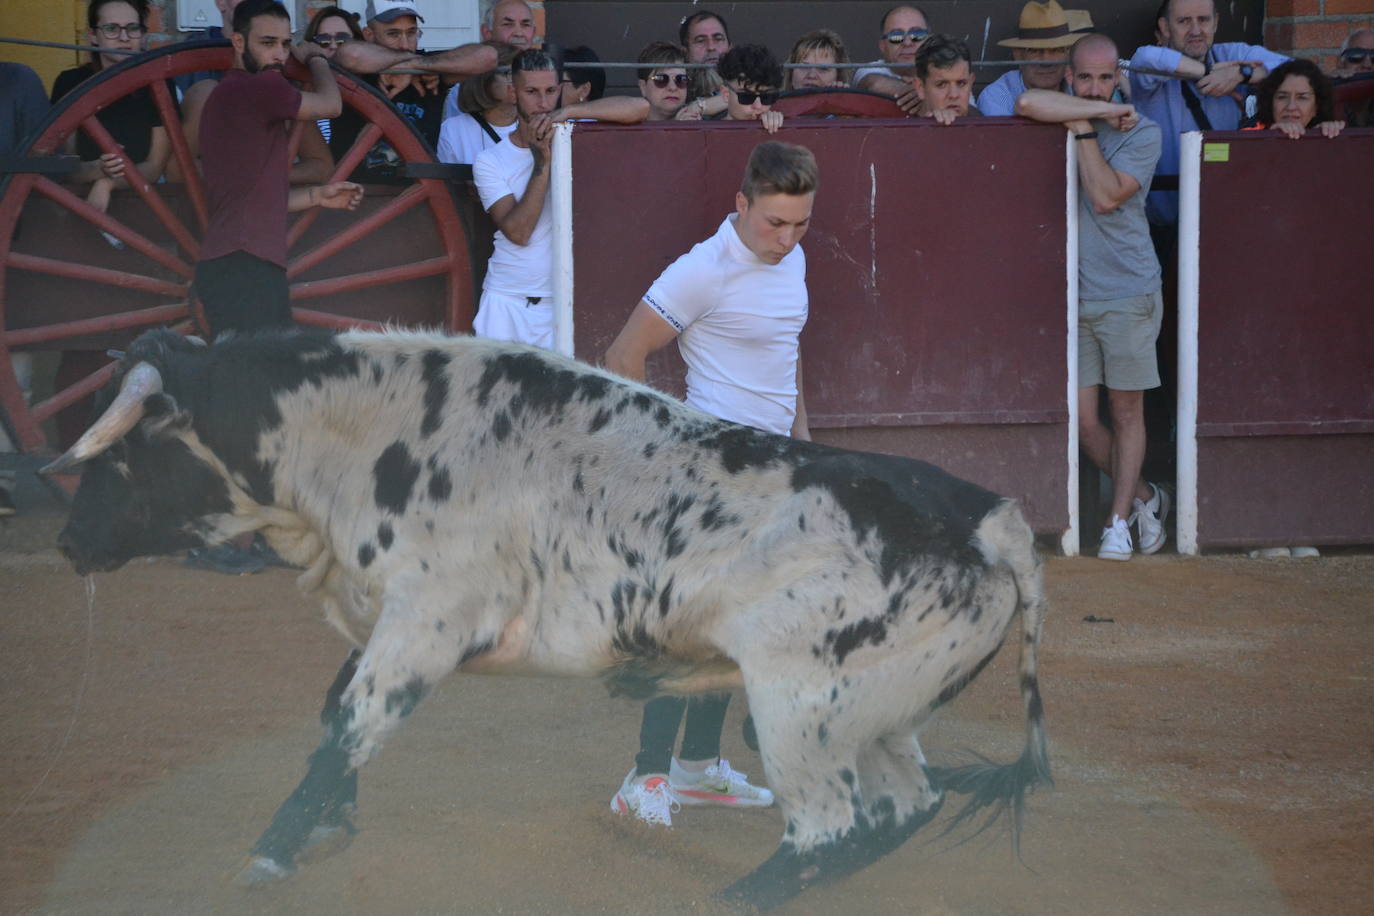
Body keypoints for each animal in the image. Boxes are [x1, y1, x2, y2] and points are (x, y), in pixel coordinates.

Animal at [45, 325, 1049, 906]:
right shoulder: (392, 623)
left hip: (797, 709)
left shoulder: (425, 623)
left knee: (828, 829)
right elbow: (335, 715)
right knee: (902, 808)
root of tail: (989, 518)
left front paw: (268, 853)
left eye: (123, 450)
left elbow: (349, 726)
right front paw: (325, 829)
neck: (369, 437)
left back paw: (731, 902)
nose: (65, 539)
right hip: (878, 716)